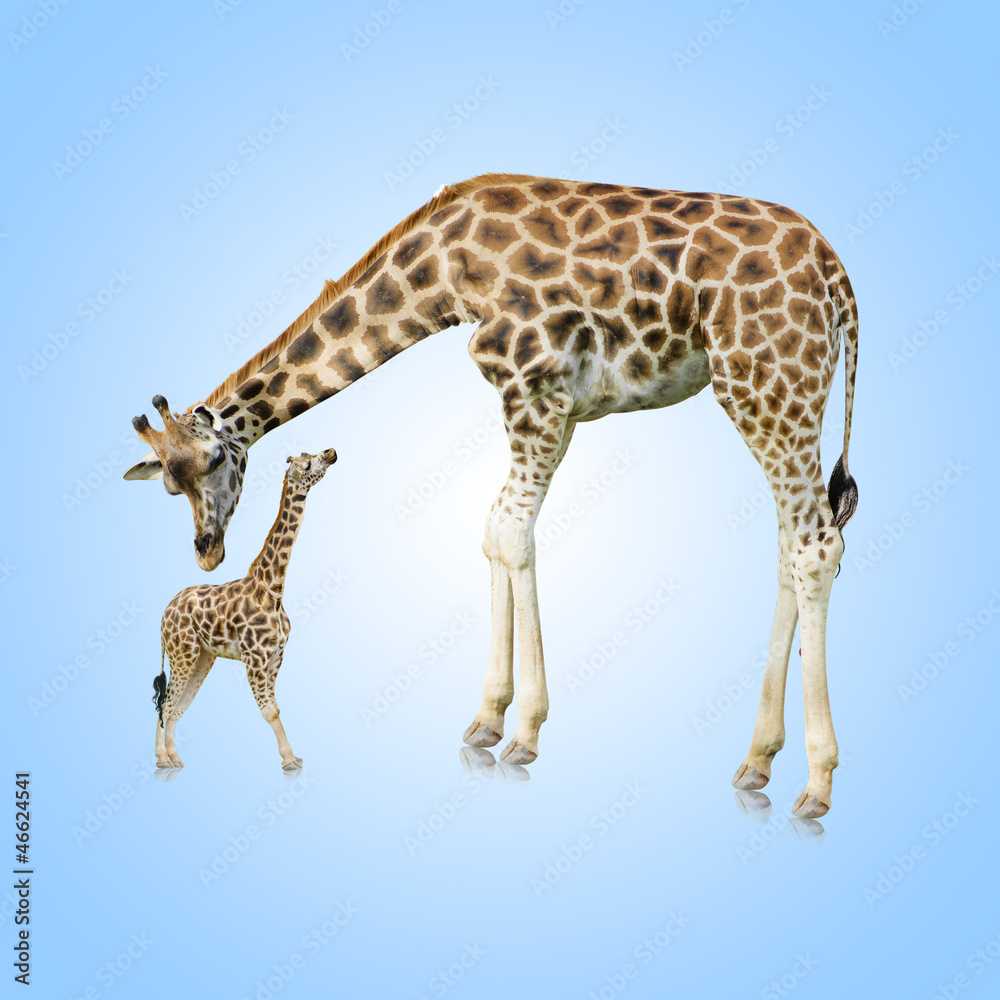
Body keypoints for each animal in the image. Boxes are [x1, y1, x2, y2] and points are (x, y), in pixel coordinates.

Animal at [150, 446, 337, 770]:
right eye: (308, 464)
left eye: (312, 453)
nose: (330, 451)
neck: (273, 588)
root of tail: (164, 613)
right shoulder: (256, 659)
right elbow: (269, 710)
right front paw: (289, 760)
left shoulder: (276, 657)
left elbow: (276, 708)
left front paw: (292, 757)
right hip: (182, 653)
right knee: (167, 701)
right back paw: (162, 759)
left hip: (202, 657)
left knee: (178, 705)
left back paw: (175, 758)